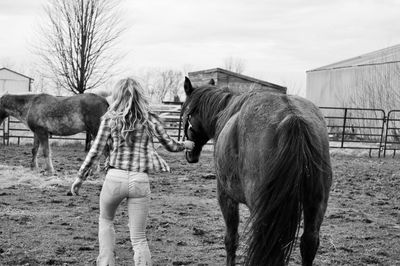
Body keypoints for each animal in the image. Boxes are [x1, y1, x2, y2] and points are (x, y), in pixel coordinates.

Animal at [181, 77, 332, 266]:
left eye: (185, 112)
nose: (190, 154)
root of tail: (292, 117)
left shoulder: (226, 196)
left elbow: (231, 239)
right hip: (315, 203)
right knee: (309, 243)